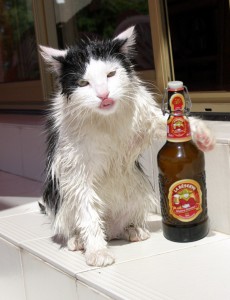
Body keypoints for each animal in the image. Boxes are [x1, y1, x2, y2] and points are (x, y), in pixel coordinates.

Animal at [39, 27, 214, 268]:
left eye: (111, 75)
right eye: (83, 83)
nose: (103, 95)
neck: (106, 120)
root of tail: (111, 230)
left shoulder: (144, 125)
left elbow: (166, 122)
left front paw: (203, 134)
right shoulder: (75, 169)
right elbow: (88, 212)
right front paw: (97, 251)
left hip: (138, 190)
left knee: (123, 224)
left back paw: (133, 230)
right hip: (60, 201)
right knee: (77, 223)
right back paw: (79, 240)